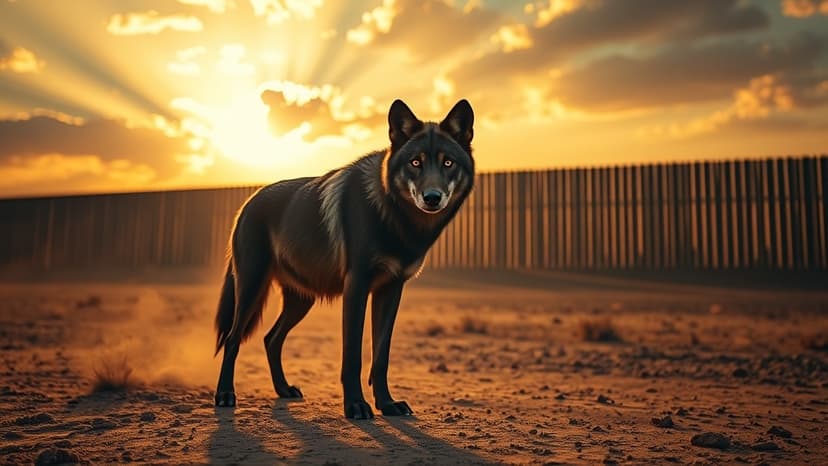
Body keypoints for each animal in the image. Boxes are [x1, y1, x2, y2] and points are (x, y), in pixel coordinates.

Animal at [213, 99, 475, 419]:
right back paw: (225, 395)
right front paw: (356, 406)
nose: (432, 197)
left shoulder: (391, 290)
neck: (393, 214)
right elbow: (353, 355)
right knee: (232, 339)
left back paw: (284, 390)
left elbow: (381, 356)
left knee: (270, 339)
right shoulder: (356, 287)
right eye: (416, 162)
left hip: (301, 301)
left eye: (448, 163)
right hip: (251, 289)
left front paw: (387, 404)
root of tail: (247, 203)